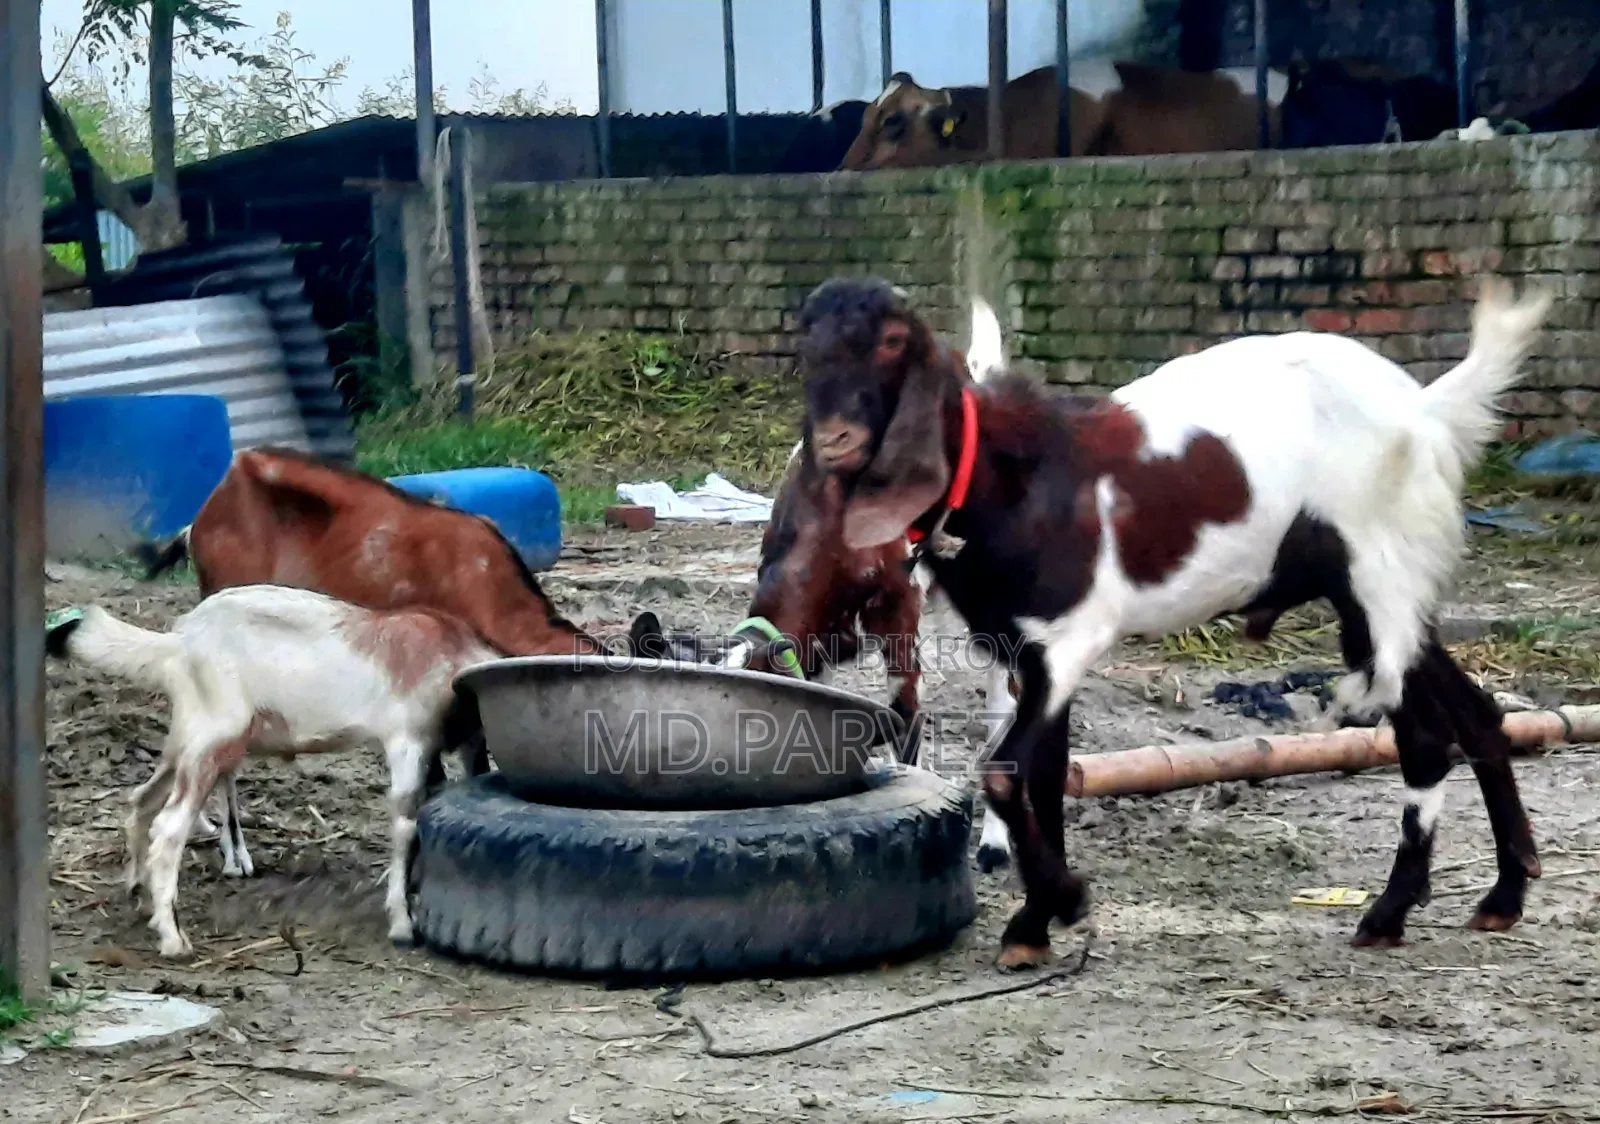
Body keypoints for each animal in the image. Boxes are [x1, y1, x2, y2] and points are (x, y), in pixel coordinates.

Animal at [46, 585, 504, 959]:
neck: (450, 653)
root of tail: (178, 641)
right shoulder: (408, 739)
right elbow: (407, 822)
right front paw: (402, 923)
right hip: (215, 736)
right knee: (170, 826)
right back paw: (174, 939)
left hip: (187, 739)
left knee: (143, 801)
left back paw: (141, 898)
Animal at [789, 273, 1551, 970]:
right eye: (807, 343)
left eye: (894, 341)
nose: (835, 441)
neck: (1014, 478)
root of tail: (1425, 411)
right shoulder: (1026, 646)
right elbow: (1047, 773)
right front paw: (1036, 922)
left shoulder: (1071, 638)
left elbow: (1007, 772)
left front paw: (1065, 900)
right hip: (1374, 595)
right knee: (1476, 713)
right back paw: (1504, 895)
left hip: (1379, 577)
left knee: (1423, 737)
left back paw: (1389, 913)